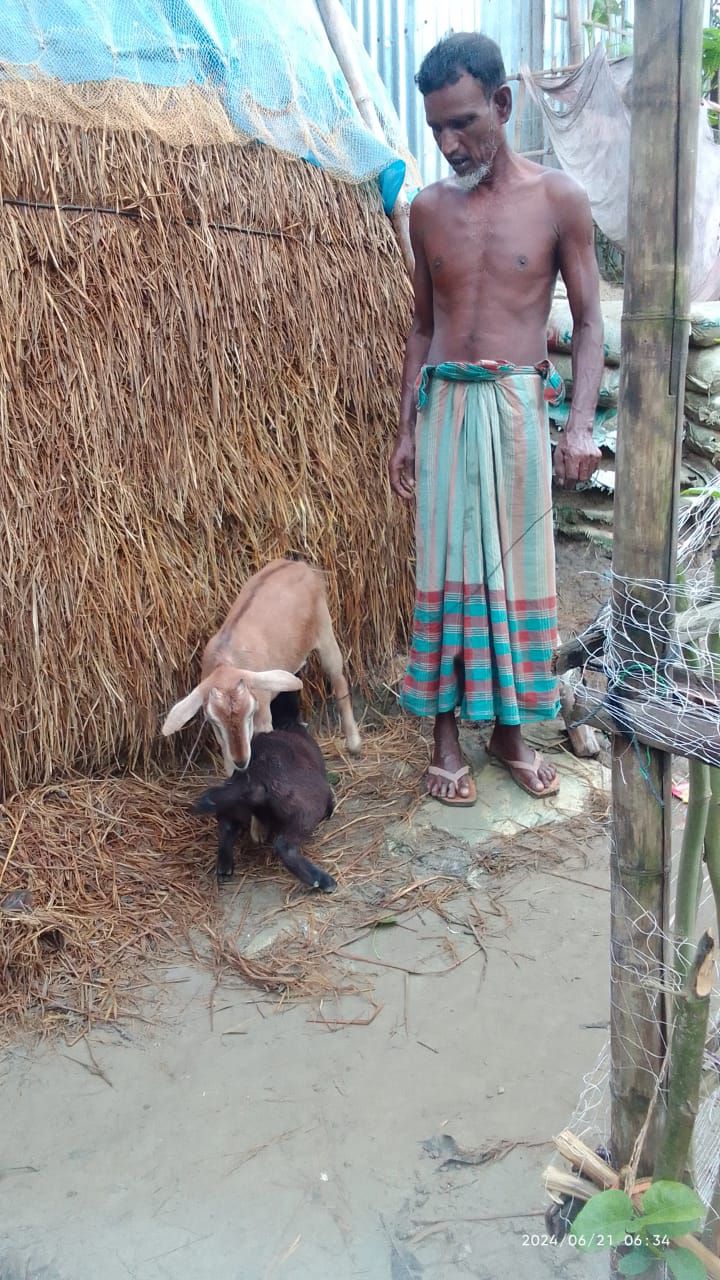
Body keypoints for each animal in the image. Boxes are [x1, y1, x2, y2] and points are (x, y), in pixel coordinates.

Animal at [161, 558, 361, 774]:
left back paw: (354, 743)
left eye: (250, 713)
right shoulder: (222, 738)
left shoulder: (263, 715)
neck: (226, 660)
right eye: (214, 721)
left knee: (338, 679)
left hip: (325, 631)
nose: (241, 761)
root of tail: (299, 564)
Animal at [193, 710, 337, 892]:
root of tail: (255, 775)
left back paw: (224, 868)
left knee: (227, 828)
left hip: (233, 804)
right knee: (284, 845)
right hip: (307, 808)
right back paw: (323, 881)